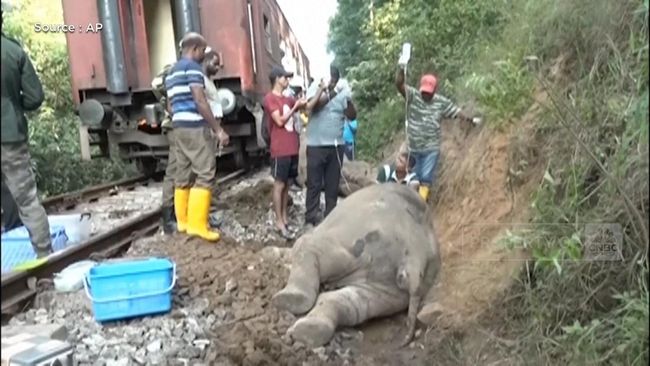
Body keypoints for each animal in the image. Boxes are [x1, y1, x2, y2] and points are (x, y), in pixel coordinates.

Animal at [270, 184, 438, 348]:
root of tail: (416, 254)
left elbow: (298, 246)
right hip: (392, 284)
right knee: (356, 304)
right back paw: (310, 330)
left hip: (356, 239)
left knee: (310, 247)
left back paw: (288, 302)